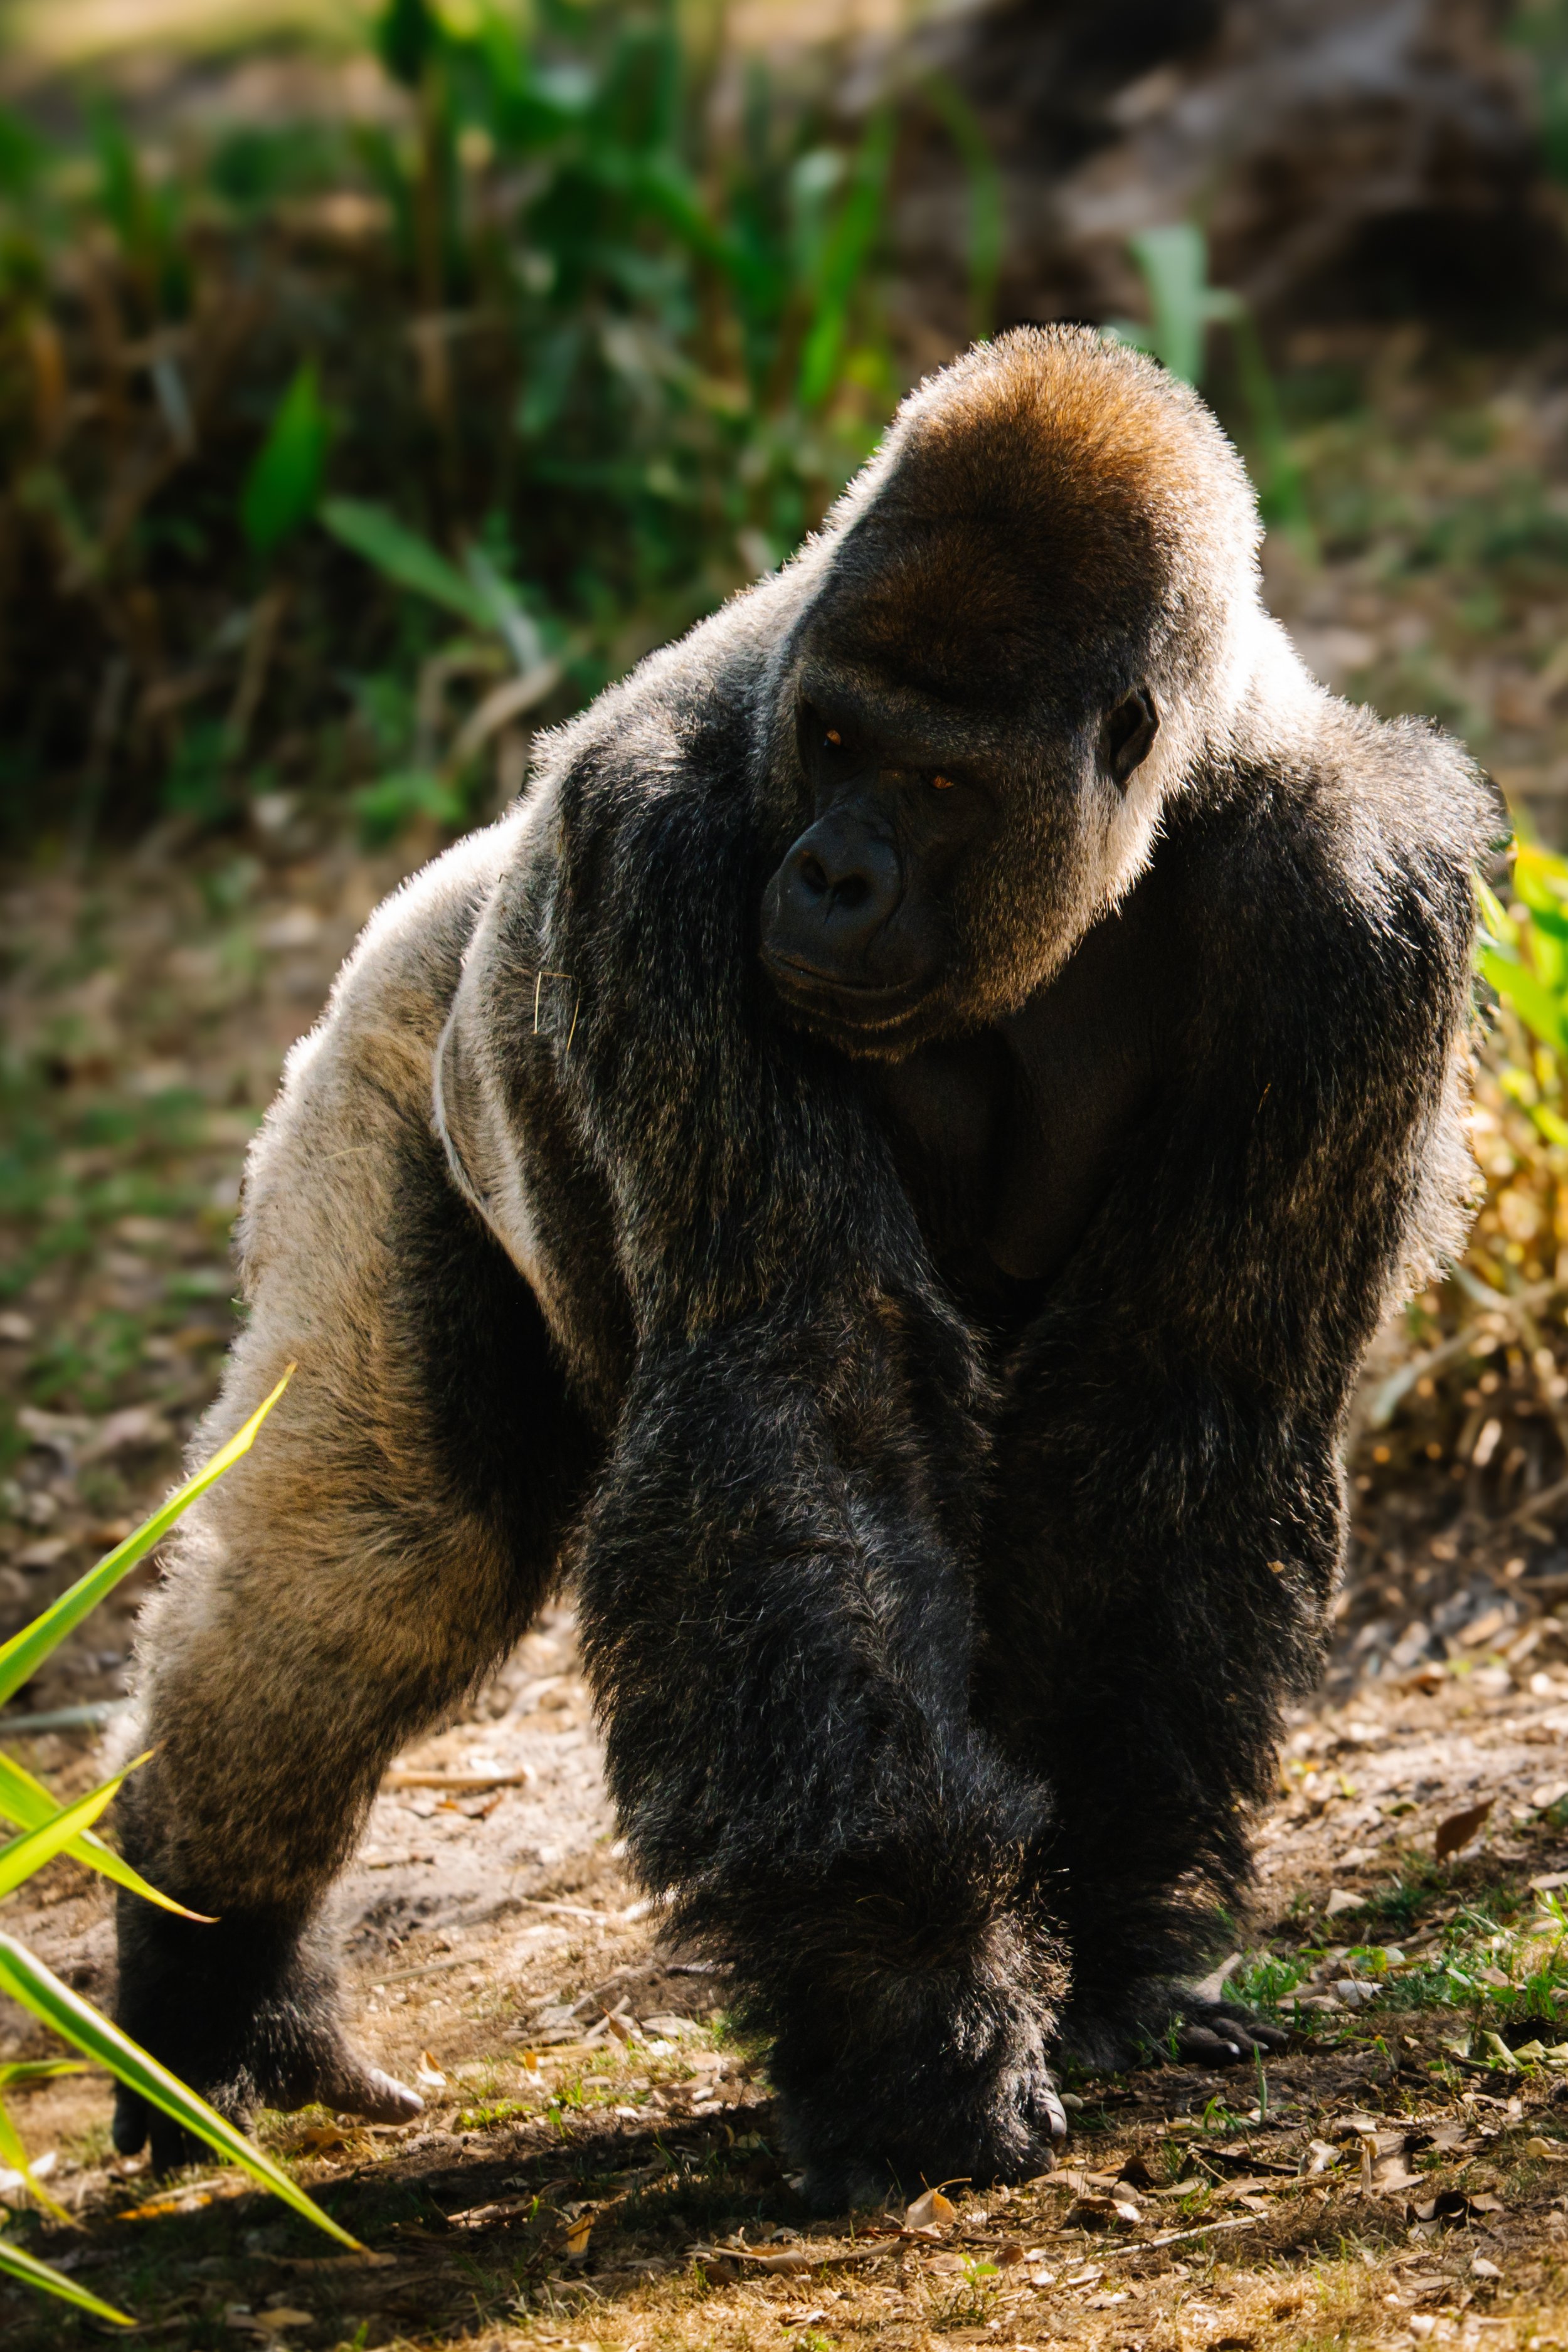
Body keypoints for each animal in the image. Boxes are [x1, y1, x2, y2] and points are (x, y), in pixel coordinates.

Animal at [111, 327, 1497, 2209]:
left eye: (934, 779)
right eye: (833, 738)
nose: (831, 871)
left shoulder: (1360, 900)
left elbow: (1177, 1403)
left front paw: (1120, 1946)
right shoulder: (663, 846)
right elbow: (797, 1384)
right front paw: (911, 2017)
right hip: (403, 1013)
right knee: (378, 1551)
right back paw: (198, 1964)